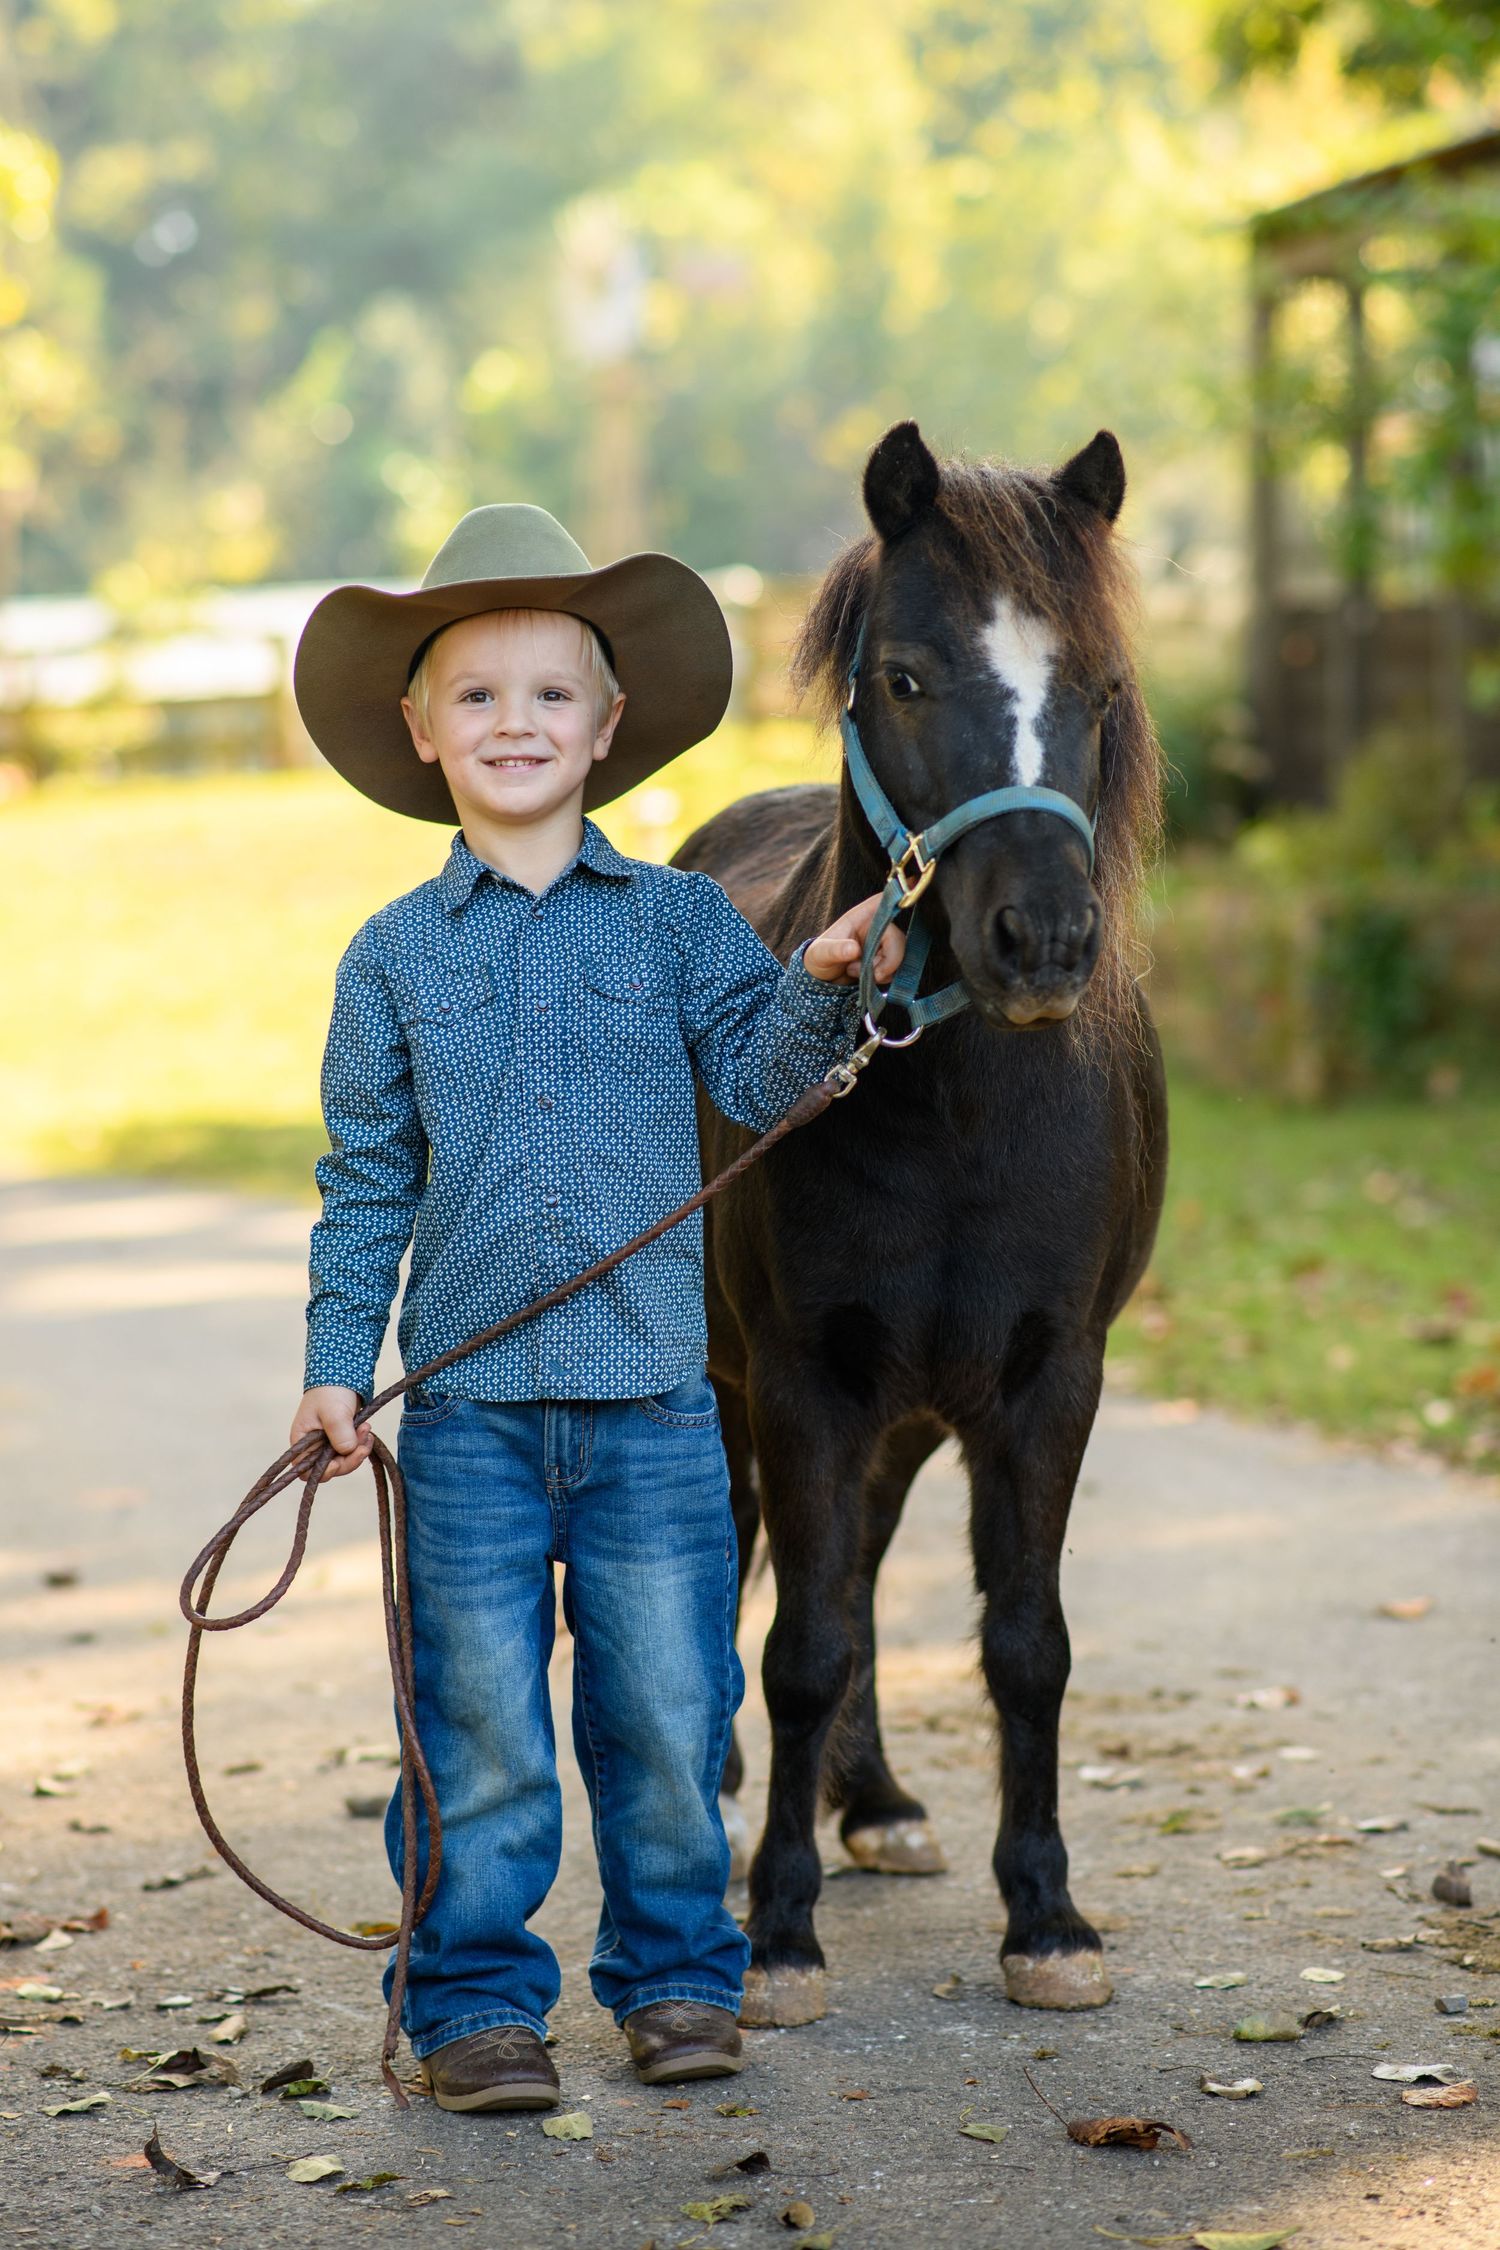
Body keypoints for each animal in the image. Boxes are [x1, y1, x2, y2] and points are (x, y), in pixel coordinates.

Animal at [673, 420, 1168, 2025]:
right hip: (739, 1386)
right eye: (903, 675)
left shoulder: (1045, 1379)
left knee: (869, 1564)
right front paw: (778, 1932)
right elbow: (801, 1643)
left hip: (902, 1410)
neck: (952, 1106)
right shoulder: (802, 1380)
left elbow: (1025, 1645)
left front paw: (1049, 1919)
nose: (1046, 942)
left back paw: (876, 1797)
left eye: (1101, 688)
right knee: (744, 1564)